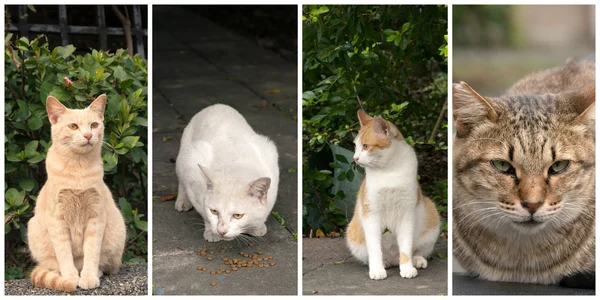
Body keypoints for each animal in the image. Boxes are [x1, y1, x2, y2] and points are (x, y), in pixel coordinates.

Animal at [28, 95, 127, 292]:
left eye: (94, 125)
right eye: (73, 126)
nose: (88, 135)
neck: (78, 169)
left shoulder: (96, 218)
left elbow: (92, 252)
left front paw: (88, 277)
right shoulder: (57, 220)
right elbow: (64, 254)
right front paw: (70, 278)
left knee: (104, 265)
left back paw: (94, 272)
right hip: (33, 229)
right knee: (53, 265)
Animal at [172, 104, 278, 243]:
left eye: (238, 215)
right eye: (214, 211)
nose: (221, 231)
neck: (235, 164)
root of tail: (216, 105)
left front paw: (256, 226)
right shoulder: (192, 168)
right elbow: (203, 211)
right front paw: (211, 232)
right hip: (184, 156)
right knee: (181, 180)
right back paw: (183, 201)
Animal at [344, 111, 438, 280]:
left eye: (366, 146)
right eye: (355, 146)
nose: (355, 158)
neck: (388, 170)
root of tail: (394, 260)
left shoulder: (407, 213)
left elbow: (406, 246)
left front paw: (407, 267)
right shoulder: (371, 213)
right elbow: (374, 247)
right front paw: (377, 269)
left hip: (432, 216)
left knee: (417, 250)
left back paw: (417, 260)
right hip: (353, 235)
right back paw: (384, 263)